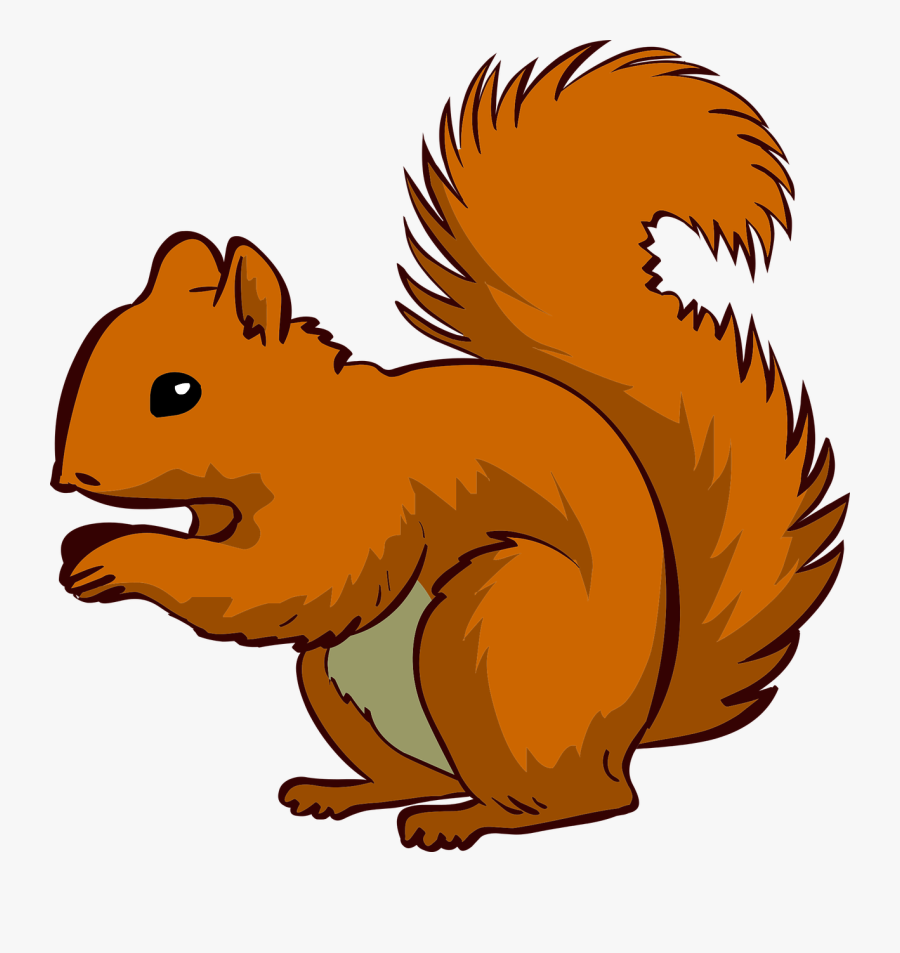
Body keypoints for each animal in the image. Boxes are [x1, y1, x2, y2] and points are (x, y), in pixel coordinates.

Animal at [53, 43, 847, 851]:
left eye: (177, 392)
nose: (67, 476)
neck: (302, 427)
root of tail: (629, 730)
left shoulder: (360, 503)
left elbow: (285, 584)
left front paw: (117, 553)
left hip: (489, 635)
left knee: (584, 801)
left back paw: (465, 820)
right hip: (335, 680)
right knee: (431, 777)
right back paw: (349, 793)